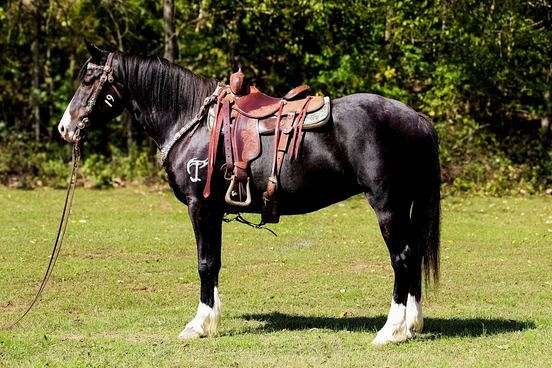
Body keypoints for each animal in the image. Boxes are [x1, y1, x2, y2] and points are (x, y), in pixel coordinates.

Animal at [59, 43, 440, 344]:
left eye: (89, 79)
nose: (65, 128)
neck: (192, 122)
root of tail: (416, 118)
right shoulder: (213, 210)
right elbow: (214, 262)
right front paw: (210, 320)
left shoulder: (200, 207)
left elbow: (205, 263)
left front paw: (199, 324)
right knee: (413, 254)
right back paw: (412, 324)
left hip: (388, 206)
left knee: (402, 258)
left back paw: (391, 331)